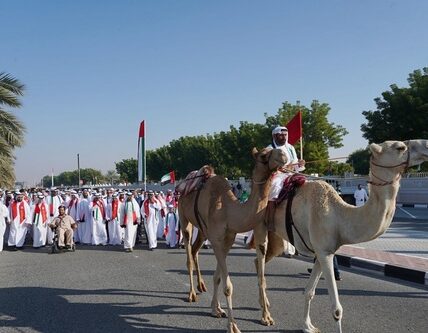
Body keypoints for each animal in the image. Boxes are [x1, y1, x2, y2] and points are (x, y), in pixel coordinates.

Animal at [177, 147, 288, 332]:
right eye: (263, 155)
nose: (283, 155)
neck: (229, 210)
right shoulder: (216, 239)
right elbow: (228, 286)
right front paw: (233, 326)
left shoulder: (227, 240)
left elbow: (218, 277)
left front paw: (216, 309)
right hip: (184, 218)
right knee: (188, 254)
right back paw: (191, 294)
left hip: (203, 230)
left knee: (195, 250)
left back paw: (201, 286)